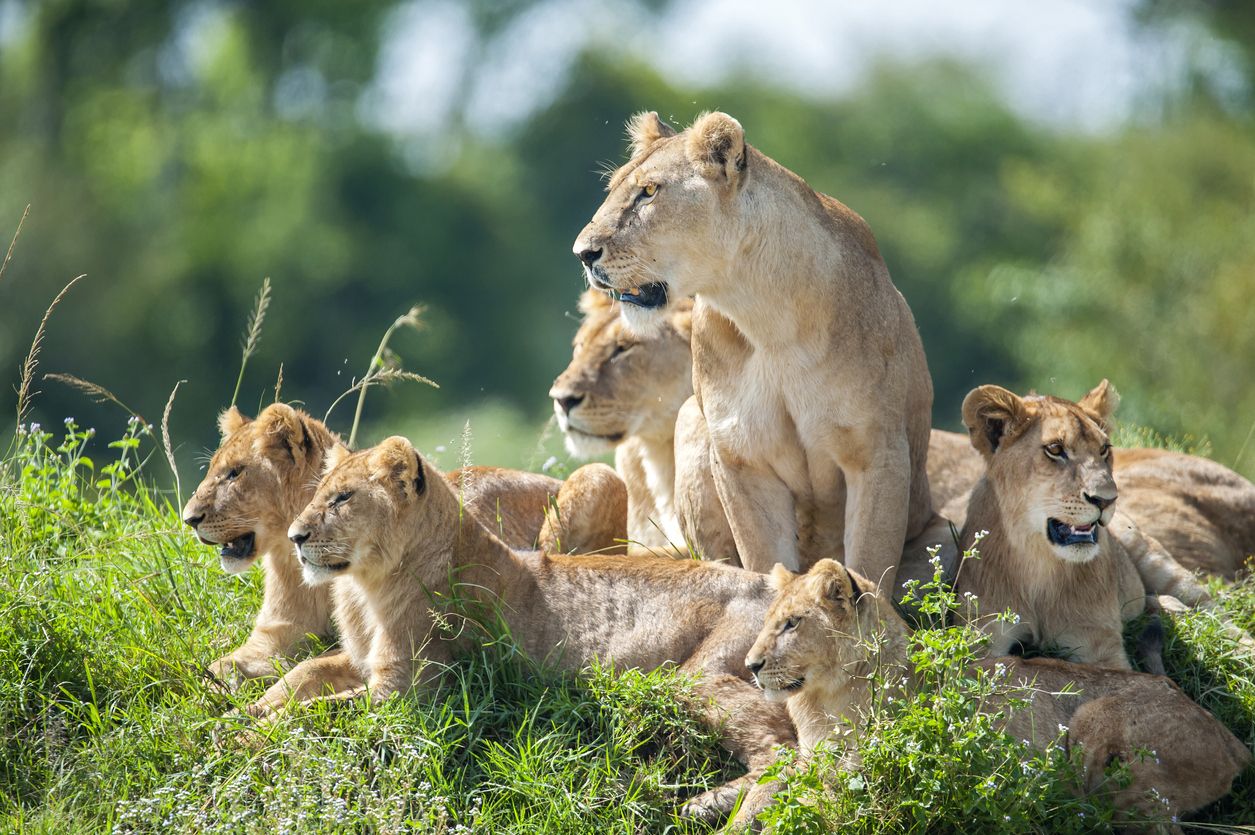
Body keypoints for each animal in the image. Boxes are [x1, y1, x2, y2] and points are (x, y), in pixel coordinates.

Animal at [574, 112, 938, 592]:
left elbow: (869, 569)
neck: (767, 319)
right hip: (691, 419)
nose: (582, 253)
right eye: (613, 188)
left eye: (649, 191)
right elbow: (764, 561)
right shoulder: (741, 457)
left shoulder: (878, 452)